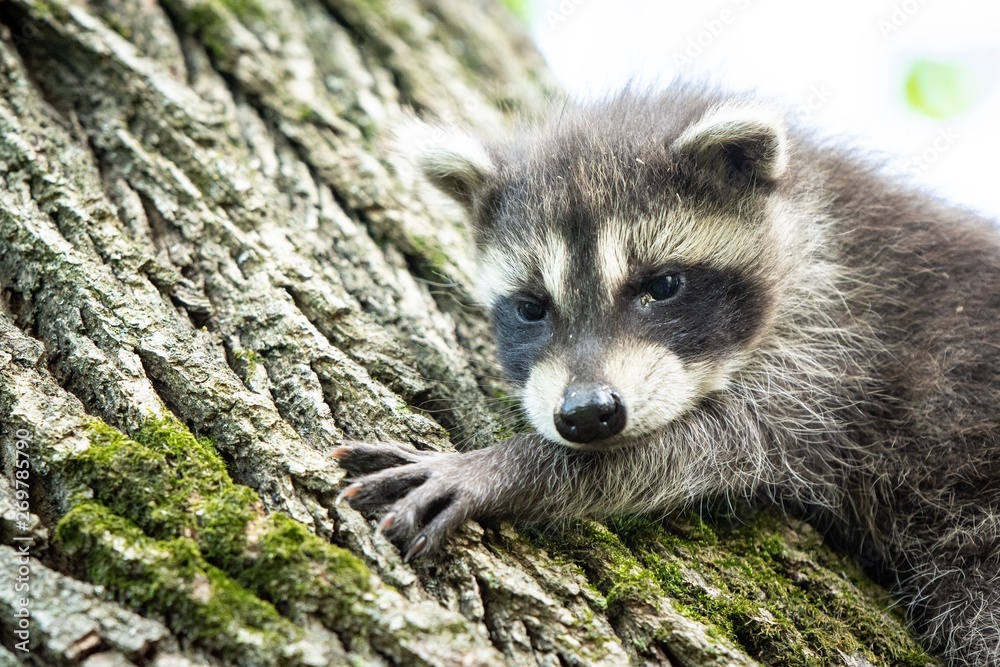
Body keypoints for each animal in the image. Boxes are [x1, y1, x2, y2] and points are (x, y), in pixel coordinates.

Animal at [334, 83, 1000, 666]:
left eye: (662, 286)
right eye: (531, 308)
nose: (587, 415)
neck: (809, 224)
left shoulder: (841, 357)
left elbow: (708, 445)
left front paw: (502, 467)